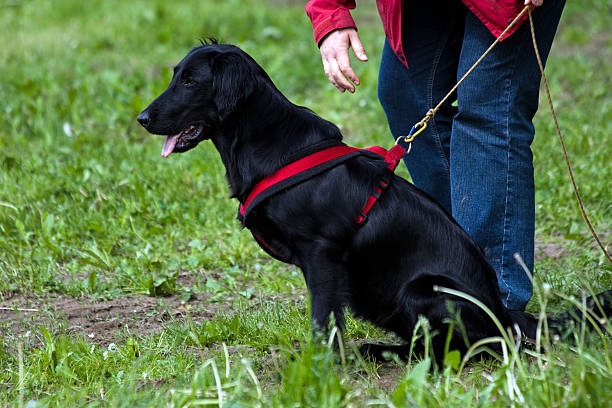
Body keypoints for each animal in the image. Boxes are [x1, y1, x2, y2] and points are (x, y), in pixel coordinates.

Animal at [139, 41, 612, 364]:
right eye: (175, 74)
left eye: (191, 81)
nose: (142, 118)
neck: (270, 144)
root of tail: (505, 312)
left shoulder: (323, 254)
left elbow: (322, 317)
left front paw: (318, 367)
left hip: (423, 291)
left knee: (463, 350)